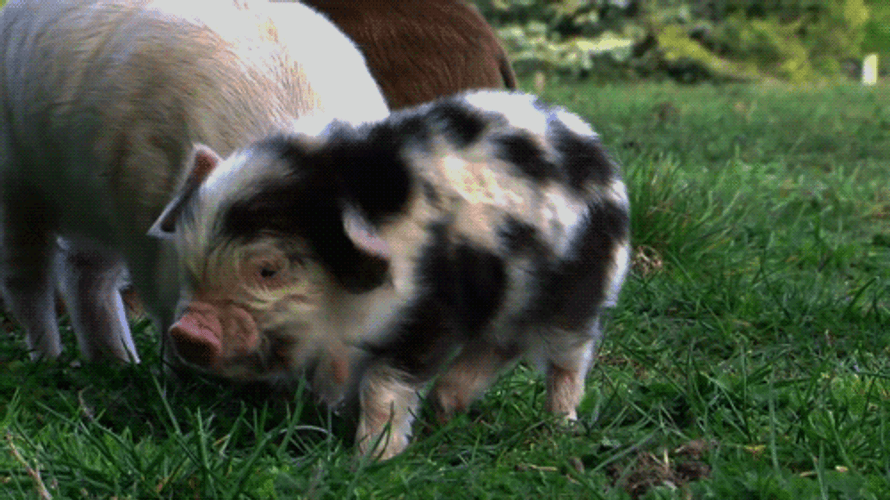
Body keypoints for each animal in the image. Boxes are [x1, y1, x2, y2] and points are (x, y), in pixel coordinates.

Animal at [0, 0, 389, 362]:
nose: (196, 335)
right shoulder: (138, 212)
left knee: (84, 273)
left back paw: (117, 362)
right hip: (16, 187)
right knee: (28, 280)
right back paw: (50, 360)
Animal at [152, 90, 631, 459]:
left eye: (269, 270)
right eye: (189, 265)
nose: (188, 331)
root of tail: (601, 156)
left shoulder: (432, 309)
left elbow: (383, 384)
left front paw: (370, 460)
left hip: (578, 293)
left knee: (568, 360)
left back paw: (561, 429)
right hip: (511, 299)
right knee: (500, 344)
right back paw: (444, 410)